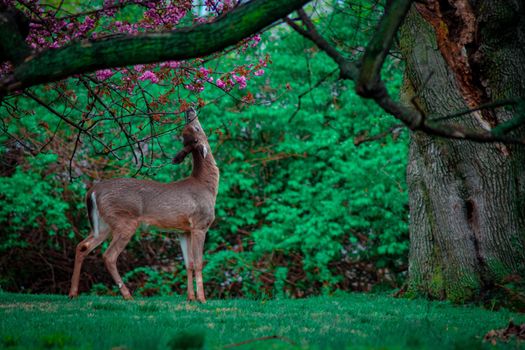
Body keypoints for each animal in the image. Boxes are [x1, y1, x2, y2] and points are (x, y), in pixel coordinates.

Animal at [68, 108, 219, 302]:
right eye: (197, 127)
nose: (189, 110)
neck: (206, 186)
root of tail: (92, 191)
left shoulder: (183, 230)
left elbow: (189, 264)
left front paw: (190, 298)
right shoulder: (200, 224)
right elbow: (199, 263)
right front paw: (202, 299)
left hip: (103, 224)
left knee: (82, 246)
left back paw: (73, 293)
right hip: (125, 221)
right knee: (108, 256)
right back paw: (127, 295)